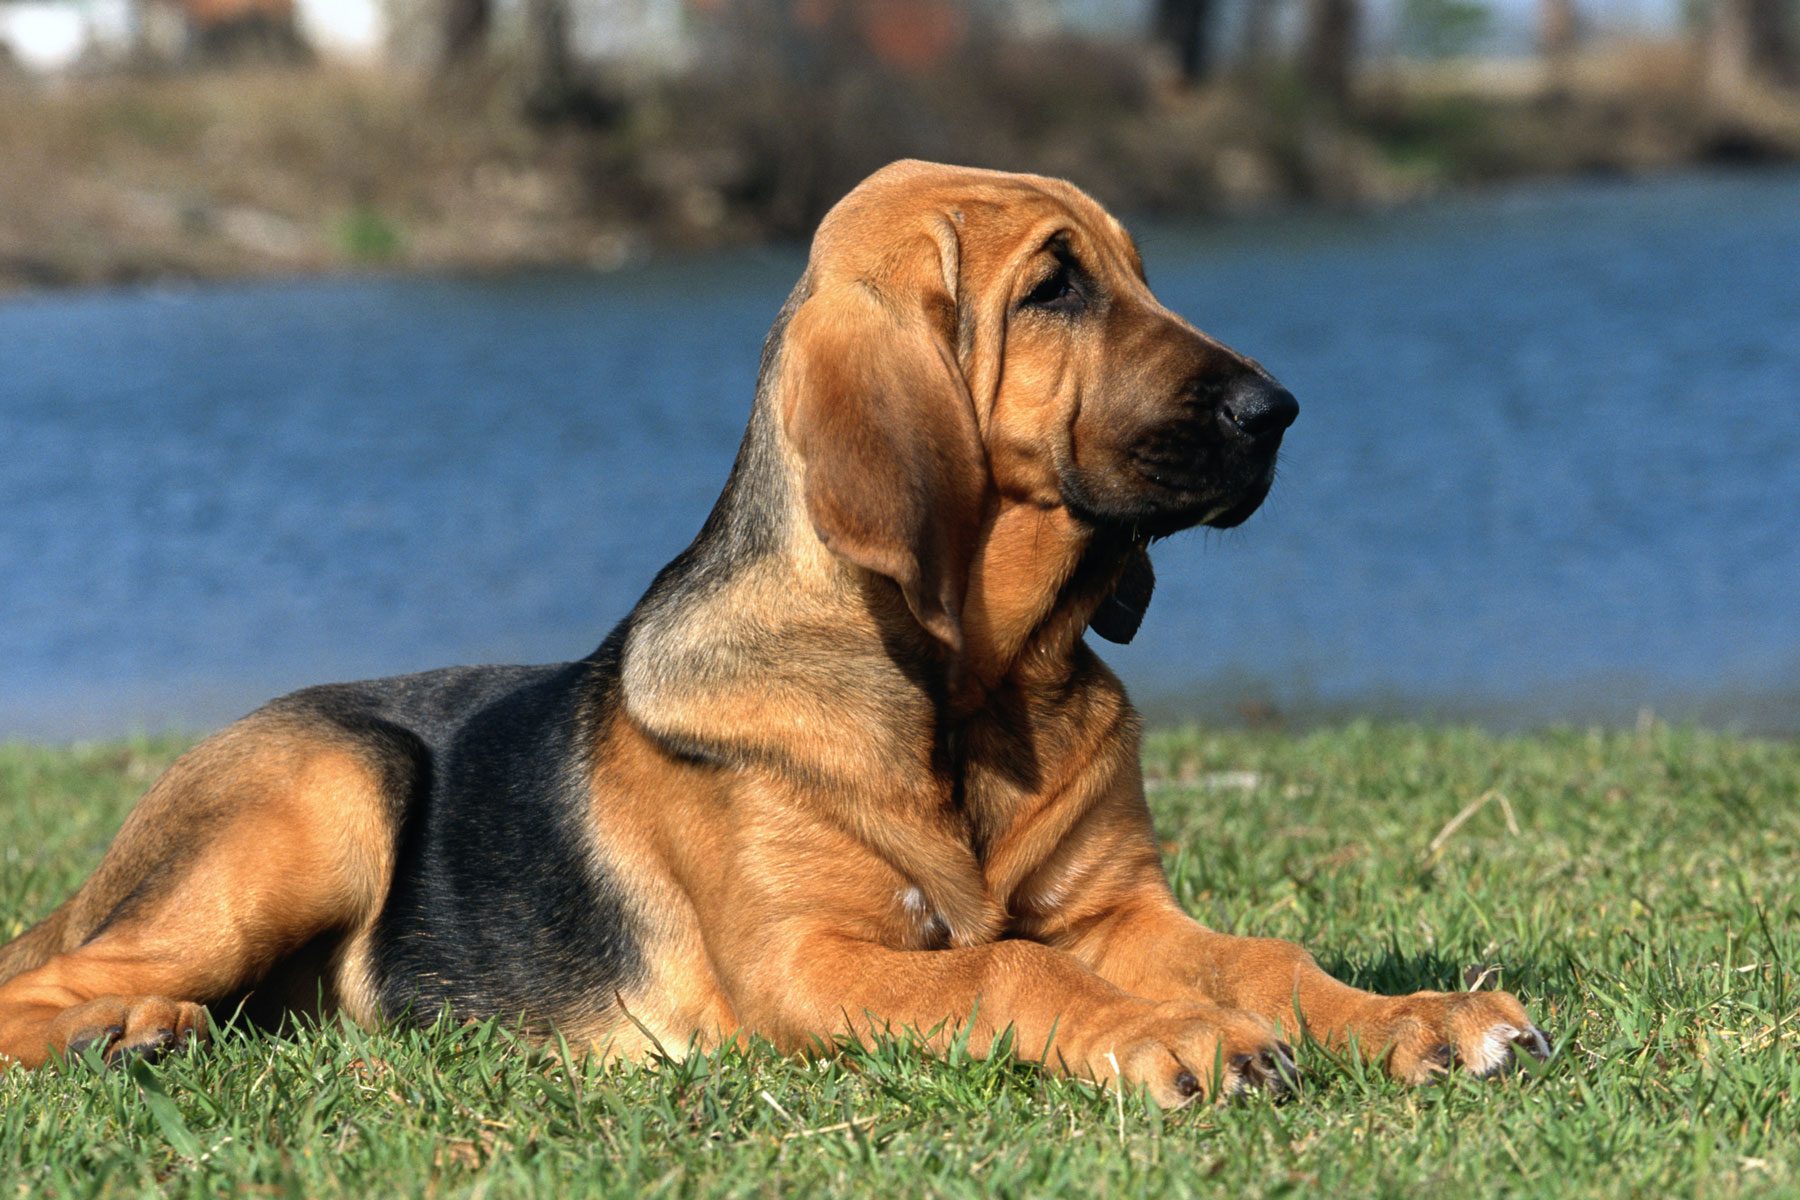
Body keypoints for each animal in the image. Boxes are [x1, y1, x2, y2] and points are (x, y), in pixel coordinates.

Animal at [0, 164, 1548, 1101]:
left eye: (1136, 273)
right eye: (1055, 288)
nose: (1278, 413)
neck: (968, 692)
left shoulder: (1121, 910)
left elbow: (1259, 959)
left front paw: (1418, 1015)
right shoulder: (810, 960)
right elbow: (1006, 962)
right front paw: (1171, 1034)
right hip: (320, 799)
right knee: (55, 980)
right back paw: (116, 1030)